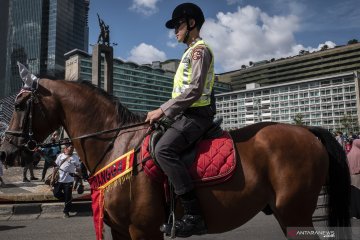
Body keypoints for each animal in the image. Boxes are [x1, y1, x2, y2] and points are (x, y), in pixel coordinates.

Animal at [0, 78, 350, 239]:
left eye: (19, 106)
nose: (6, 152)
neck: (114, 145)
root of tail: (307, 131)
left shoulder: (143, 230)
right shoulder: (119, 230)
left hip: (294, 212)